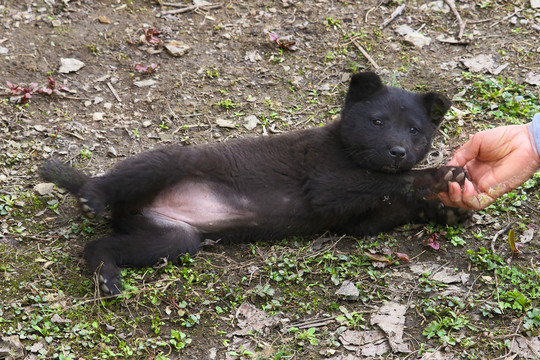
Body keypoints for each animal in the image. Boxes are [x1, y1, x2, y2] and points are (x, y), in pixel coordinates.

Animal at [41, 71, 468, 294]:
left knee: (100, 244)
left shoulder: (358, 221)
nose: (398, 151)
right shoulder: (328, 184)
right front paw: (441, 176)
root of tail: (130, 210)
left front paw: (444, 209)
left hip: (170, 239)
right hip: (170, 162)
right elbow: (390, 182)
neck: (342, 147)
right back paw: (92, 199)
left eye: (415, 130)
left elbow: (394, 201)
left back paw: (109, 276)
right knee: (109, 185)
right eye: (377, 121)